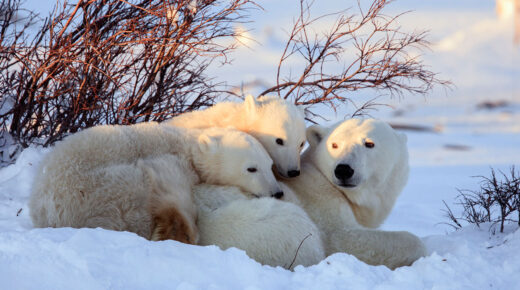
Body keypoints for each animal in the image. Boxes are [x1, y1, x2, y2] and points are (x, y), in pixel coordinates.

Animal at [28, 122, 280, 245]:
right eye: (251, 168)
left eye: (270, 165)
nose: (277, 192)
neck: (186, 145)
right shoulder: (171, 163)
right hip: (105, 189)